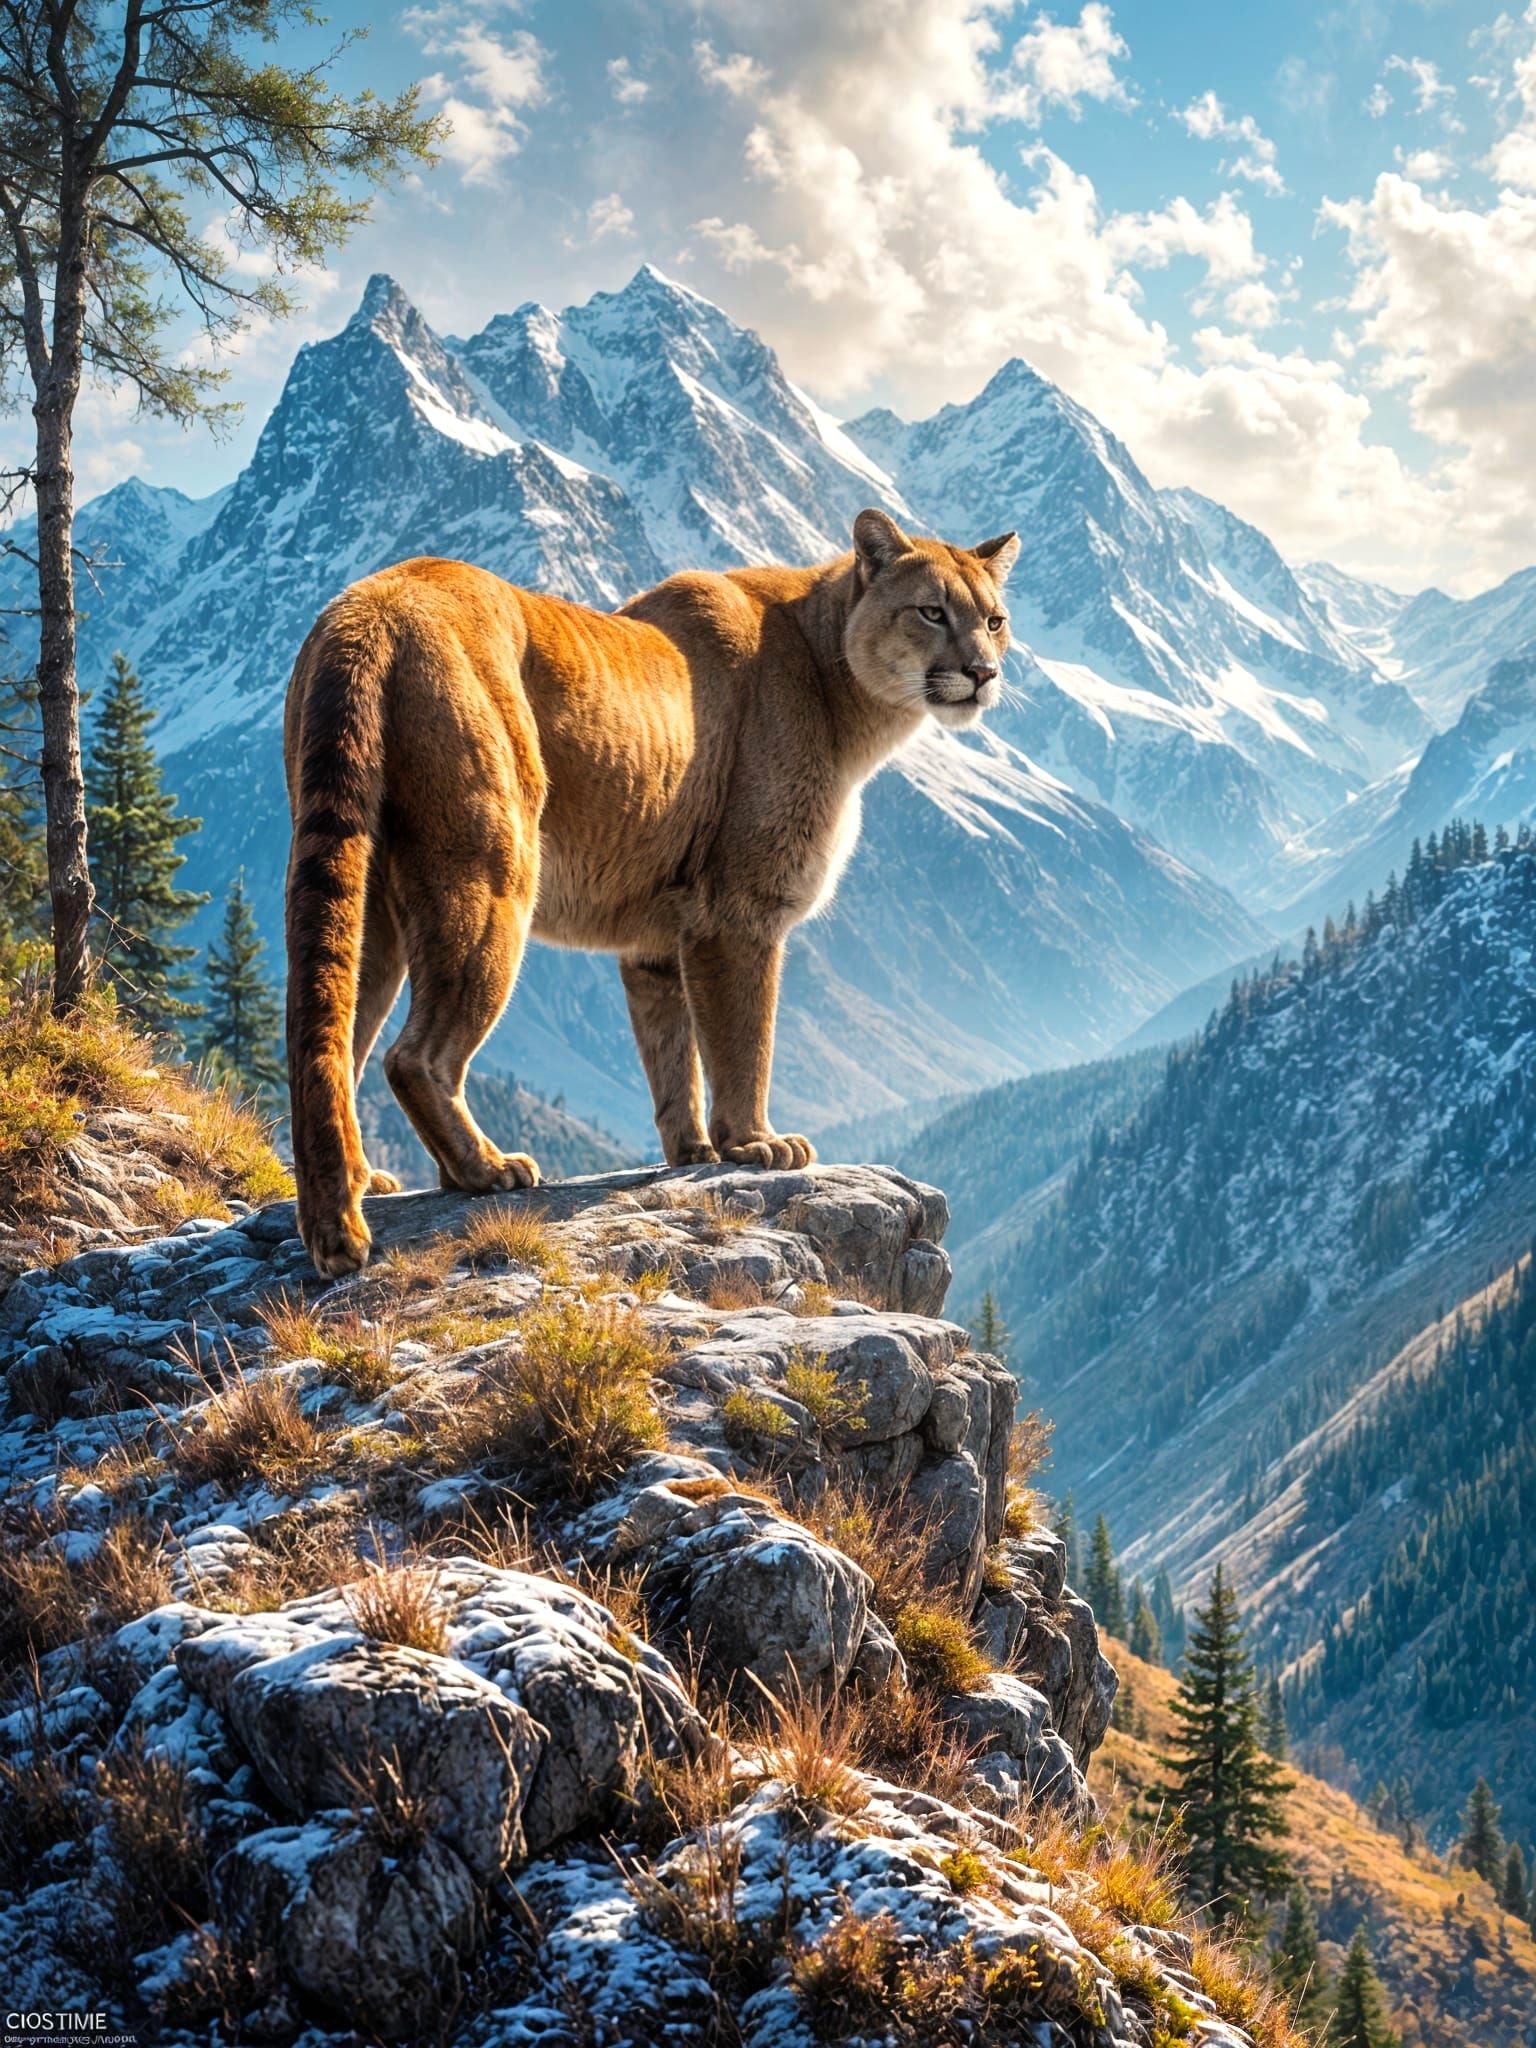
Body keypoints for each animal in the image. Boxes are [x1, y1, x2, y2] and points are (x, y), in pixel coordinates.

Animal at [284, 507, 1019, 1275]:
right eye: (932, 612)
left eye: (994, 620)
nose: (983, 672)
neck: (834, 674)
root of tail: (372, 605)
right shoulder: (740, 914)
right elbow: (743, 1039)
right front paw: (755, 1143)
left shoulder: (657, 942)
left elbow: (673, 1052)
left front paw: (691, 1150)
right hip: (491, 874)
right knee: (413, 1057)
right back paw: (483, 1170)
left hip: (365, 895)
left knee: (324, 1042)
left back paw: (346, 1205)